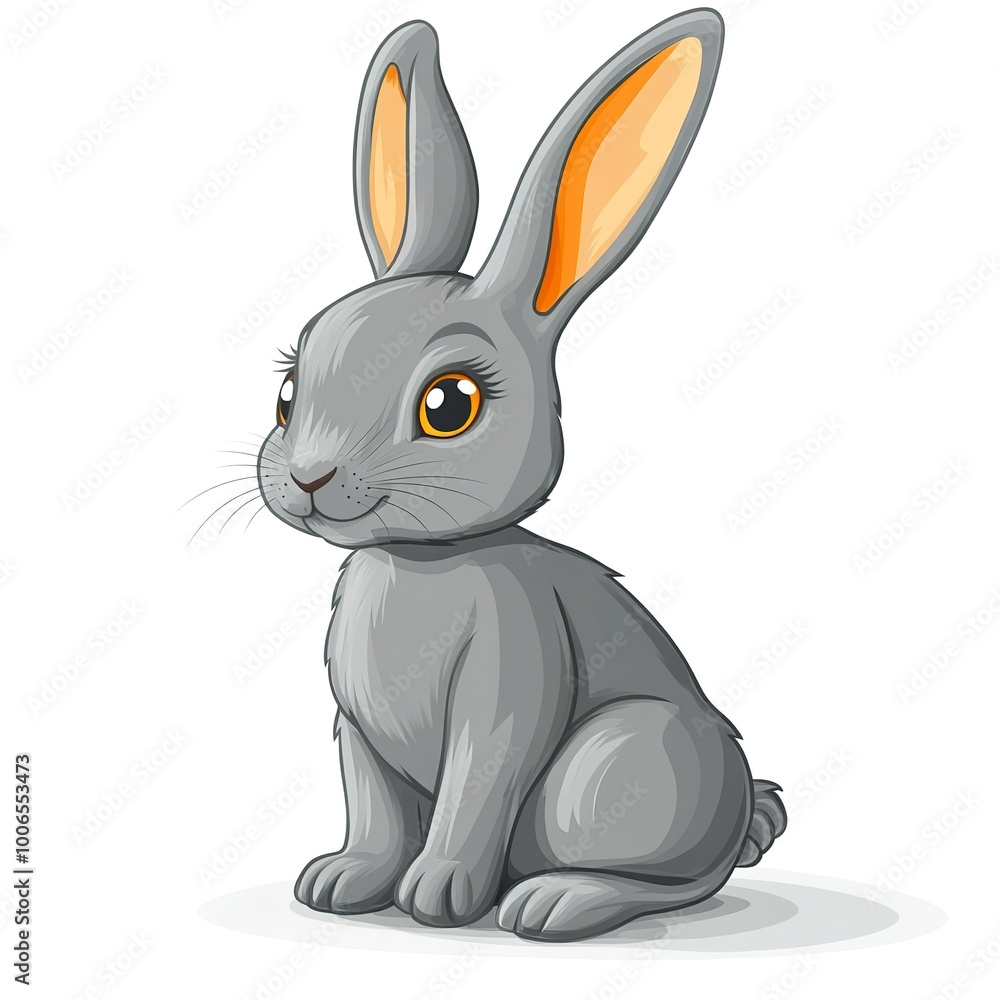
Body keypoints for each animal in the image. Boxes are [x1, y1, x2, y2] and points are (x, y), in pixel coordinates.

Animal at [255, 8, 786, 942]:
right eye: (288, 392)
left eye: (450, 403)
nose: (311, 478)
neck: (419, 562)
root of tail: (739, 802)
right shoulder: (354, 725)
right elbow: (372, 807)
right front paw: (342, 882)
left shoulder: (510, 682)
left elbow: (476, 789)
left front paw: (437, 895)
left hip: (620, 762)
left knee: (688, 879)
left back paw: (553, 901)